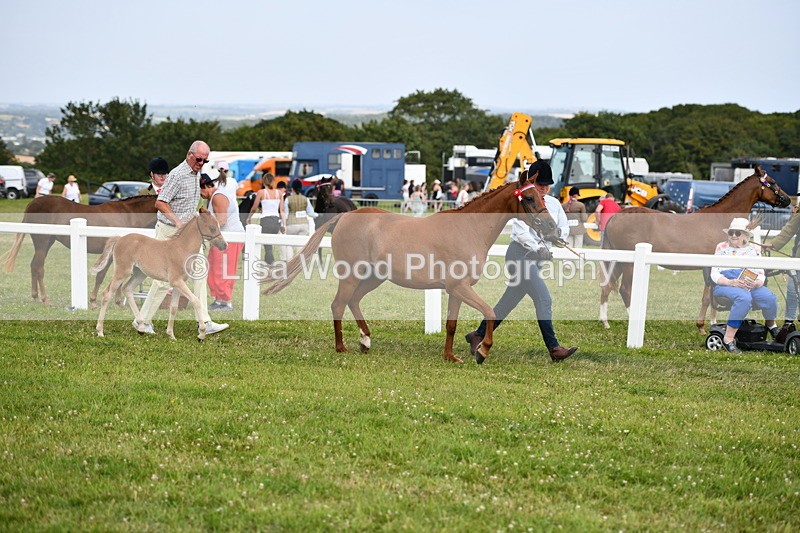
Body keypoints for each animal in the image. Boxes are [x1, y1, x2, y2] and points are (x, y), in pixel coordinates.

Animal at [1, 195, 158, 307]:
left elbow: (118, 278)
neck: (127, 215)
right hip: (42, 242)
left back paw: (35, 297)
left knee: (34, 265)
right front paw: (93, 301)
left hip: (46, 243)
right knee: (39, 267)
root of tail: (32, 204)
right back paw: (45, 299)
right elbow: (101, 276)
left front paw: (118, 301)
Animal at [93, 208, 227, 341]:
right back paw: (100, 331)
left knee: (127, 289)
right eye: (212, 228)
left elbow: (173, 307)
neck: (182, 249)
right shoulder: (176, 281)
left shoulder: (179, 284)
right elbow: (196, 301)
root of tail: (120, 238)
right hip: (122, 272)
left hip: (139, 274)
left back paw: (141, 327)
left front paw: (171, 335)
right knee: (107, 294)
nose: (224, 245)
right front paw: (202, 333)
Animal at [262, 171, 560, 364]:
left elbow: (451, 324)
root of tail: (345, 216)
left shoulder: (455, 290)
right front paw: (482, 351)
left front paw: (450, 356)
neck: (468, 228)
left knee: (354, 301)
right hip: (351, 275)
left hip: (374, 278)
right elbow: (489, 311)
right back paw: (342, 347)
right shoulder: (460, 287)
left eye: (541, 196)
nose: (552, 227)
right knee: (338, 304)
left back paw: (365, 341)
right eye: (530, 199)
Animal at [598, 167, 791, 333]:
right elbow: (709, 297)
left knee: (606, 287)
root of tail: (616, 216)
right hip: (628, 264)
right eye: (772, 182)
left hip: (617, 262)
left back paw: (605, 322)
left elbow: (712, 296)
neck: (721, 220)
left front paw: (712, 324)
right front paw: (703, 327)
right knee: (625, 290)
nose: (788, 199)